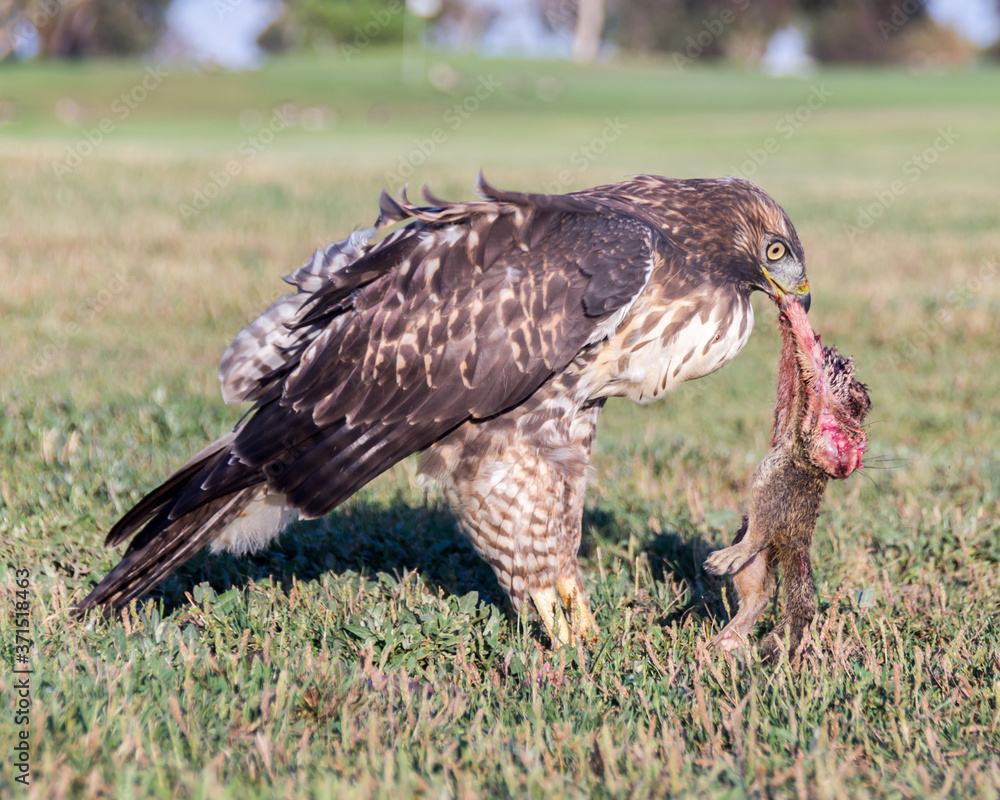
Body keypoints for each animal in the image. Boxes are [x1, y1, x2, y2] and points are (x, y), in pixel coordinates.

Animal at [704, 301, 870, 658]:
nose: (834, 353)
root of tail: (797, 539)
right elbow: (791, 390)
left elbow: (806, 358)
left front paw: (793, 312)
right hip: (759, 549)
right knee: (757, 593)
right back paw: (727, 640)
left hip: (771, 504)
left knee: (756, 540)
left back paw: (722, 563)